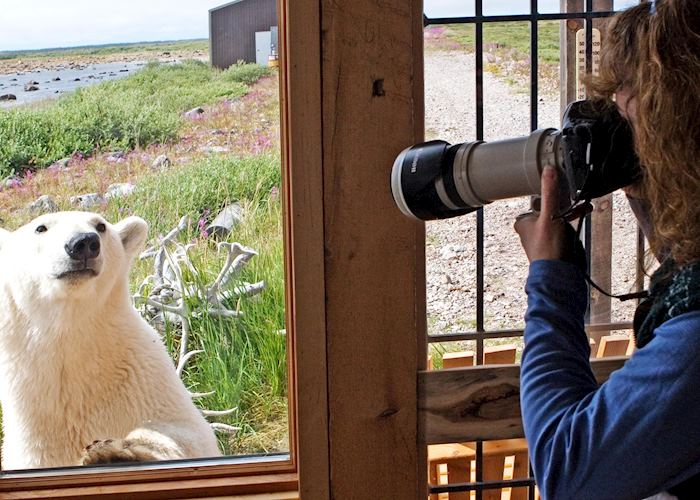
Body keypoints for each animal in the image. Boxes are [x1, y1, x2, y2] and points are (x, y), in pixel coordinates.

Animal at [0, 212, 219, 468]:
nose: (84, 243)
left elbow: (187, 435)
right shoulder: (34, 425)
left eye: (100, 226)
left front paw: (112, 452)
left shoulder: (147, 381)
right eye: (41, 228)